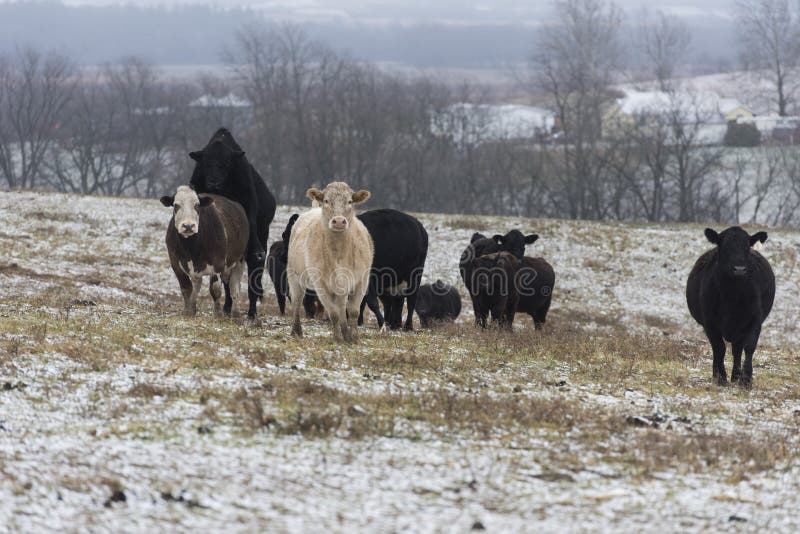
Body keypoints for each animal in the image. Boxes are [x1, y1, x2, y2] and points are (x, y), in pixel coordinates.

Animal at [161, 186, 248, 318]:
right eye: (176, 205)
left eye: (197, 205)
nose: (188, 226)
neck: (191, 248)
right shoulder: (175, 263)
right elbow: (186, 288)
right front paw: (187, 312)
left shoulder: (218, 264)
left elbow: (215, 289)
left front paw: (218, 314)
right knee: (197, 284)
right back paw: (193, 308)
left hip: (239, 260)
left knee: (235, 288)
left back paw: (236, 313)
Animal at [188, 129, 278, 322]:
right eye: (206, 162)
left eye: (227, 163)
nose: (214, 183)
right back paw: (228, 307)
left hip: (260, 239)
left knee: (253, 278)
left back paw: (250, 313)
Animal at [688, 228, 776, 388]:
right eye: (725, 247)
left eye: (747, 247)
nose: (739, 269)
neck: (732, 296)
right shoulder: (709, 323)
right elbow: (719, 348)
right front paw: (721, 378)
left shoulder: (755, 320)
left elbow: (749, 347)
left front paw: (746, 380)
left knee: (737, 350)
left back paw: (736, 376)